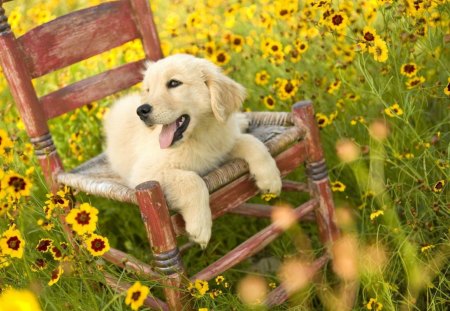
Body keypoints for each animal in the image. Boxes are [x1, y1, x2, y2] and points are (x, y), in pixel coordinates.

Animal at [105, 53, 282, 249]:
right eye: (148, 90)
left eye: (174, 83)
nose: (141, 110)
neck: (197, 137)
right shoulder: (145, 173)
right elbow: (193, 180)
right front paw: (200, 226)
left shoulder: (221, 147)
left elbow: (253, 142)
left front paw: (270, 179)